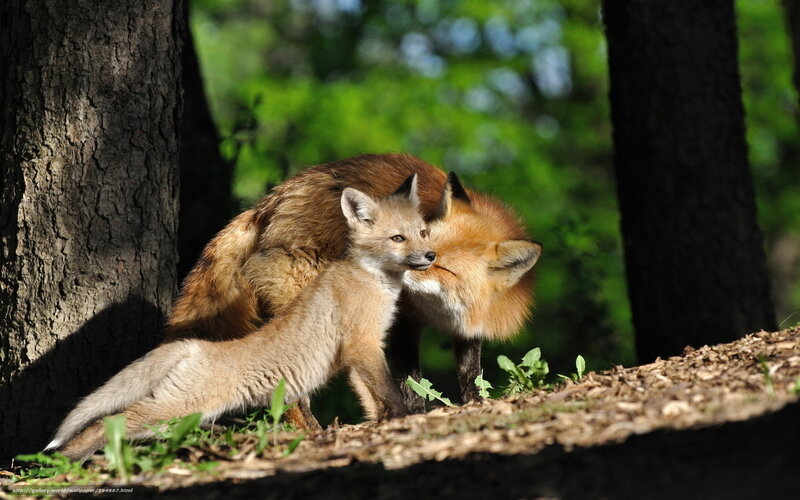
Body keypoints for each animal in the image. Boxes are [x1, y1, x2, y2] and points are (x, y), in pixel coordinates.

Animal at [46, 175, 432, 460]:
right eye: (397, 238)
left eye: (423, 232)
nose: (430, 255)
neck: (371, 280)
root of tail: (194, 346)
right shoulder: (362, 343)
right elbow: (389, 392)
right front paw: (406, 419)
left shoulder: (355, 354)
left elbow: (371, 398)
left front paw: (378, 424)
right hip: (179, 406)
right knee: (106, 422)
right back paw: (62, 461)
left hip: (182, 414)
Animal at [163, 153, 541, 428]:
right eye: (421, 242)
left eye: (444, 267)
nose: (402, 270)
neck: (444, 312)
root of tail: (271, 200)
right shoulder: (403, 321)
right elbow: (410, 381)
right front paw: (416, 414)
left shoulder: (468, 329)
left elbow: (470, 373)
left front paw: (476, 403)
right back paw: (312, 433)